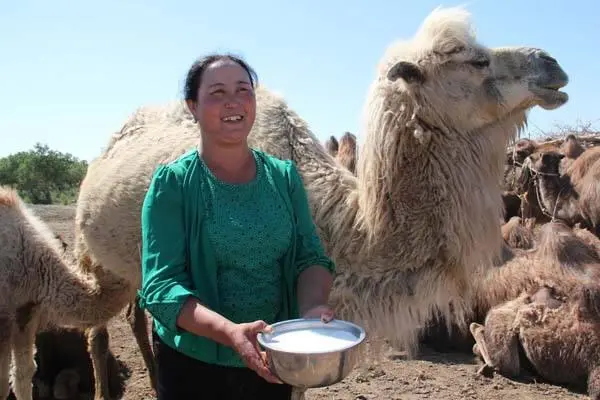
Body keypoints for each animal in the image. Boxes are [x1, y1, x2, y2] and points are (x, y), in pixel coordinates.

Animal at [72, 7, 568, 400]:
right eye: (475, 59)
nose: (553, 64)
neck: (348, 227)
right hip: (90, 244)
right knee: (98, 327)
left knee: (139, 314)